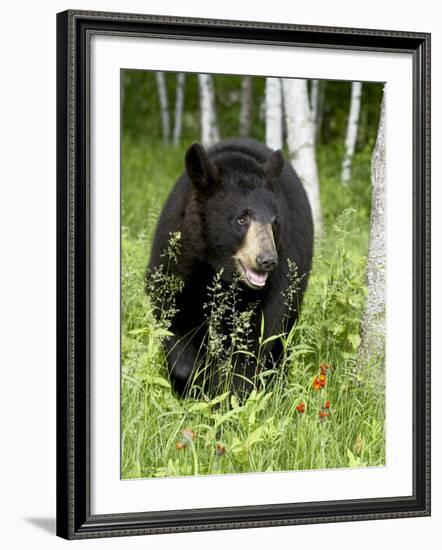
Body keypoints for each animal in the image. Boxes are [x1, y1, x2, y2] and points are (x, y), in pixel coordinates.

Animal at [148, 137, 314, 396]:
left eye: (274, 222)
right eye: (242, 219)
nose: (267, 260)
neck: (217, 270)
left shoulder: (275, 286)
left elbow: (252, 344)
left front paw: (229, 394)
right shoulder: (177, 262)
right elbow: (172, 317)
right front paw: (190, 381)